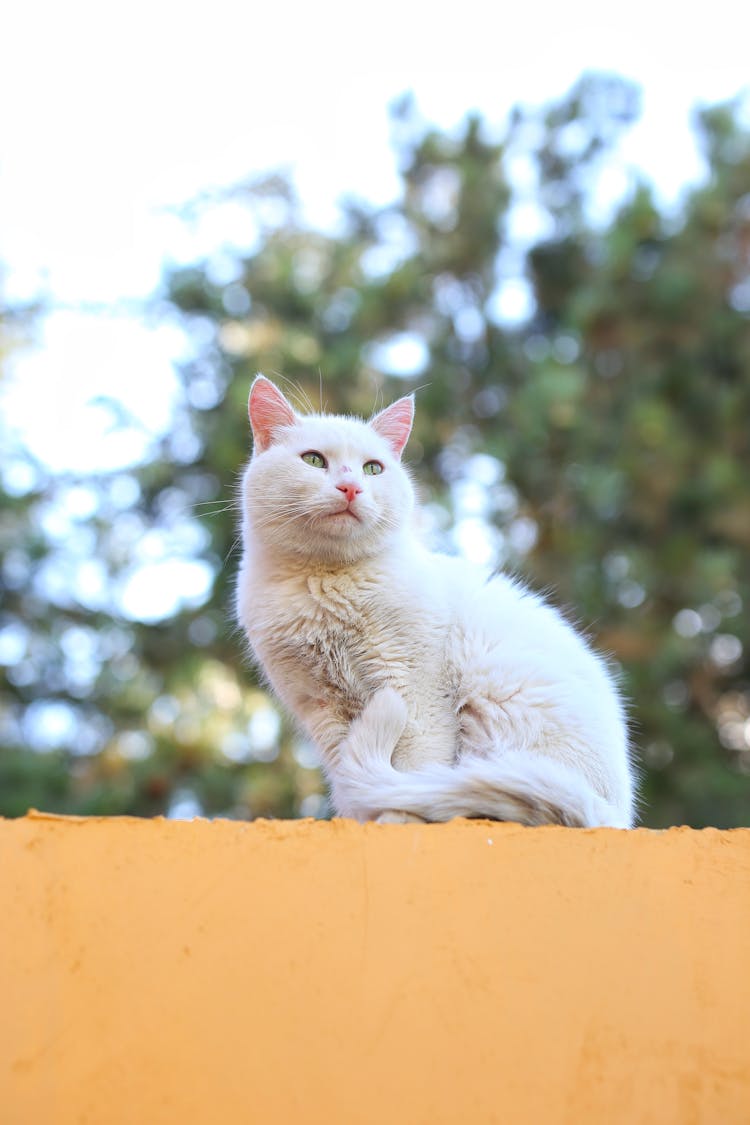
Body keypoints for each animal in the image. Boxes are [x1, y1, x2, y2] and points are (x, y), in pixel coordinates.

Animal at [237, 378, 638, 828]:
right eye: (313, 460)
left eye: (373, 468)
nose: (351, 487)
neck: (323, 585)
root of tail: (612, 813)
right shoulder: (324, 709)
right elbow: (349, 779)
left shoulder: (415, 692)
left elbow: (412, 769)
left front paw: (397, 822)